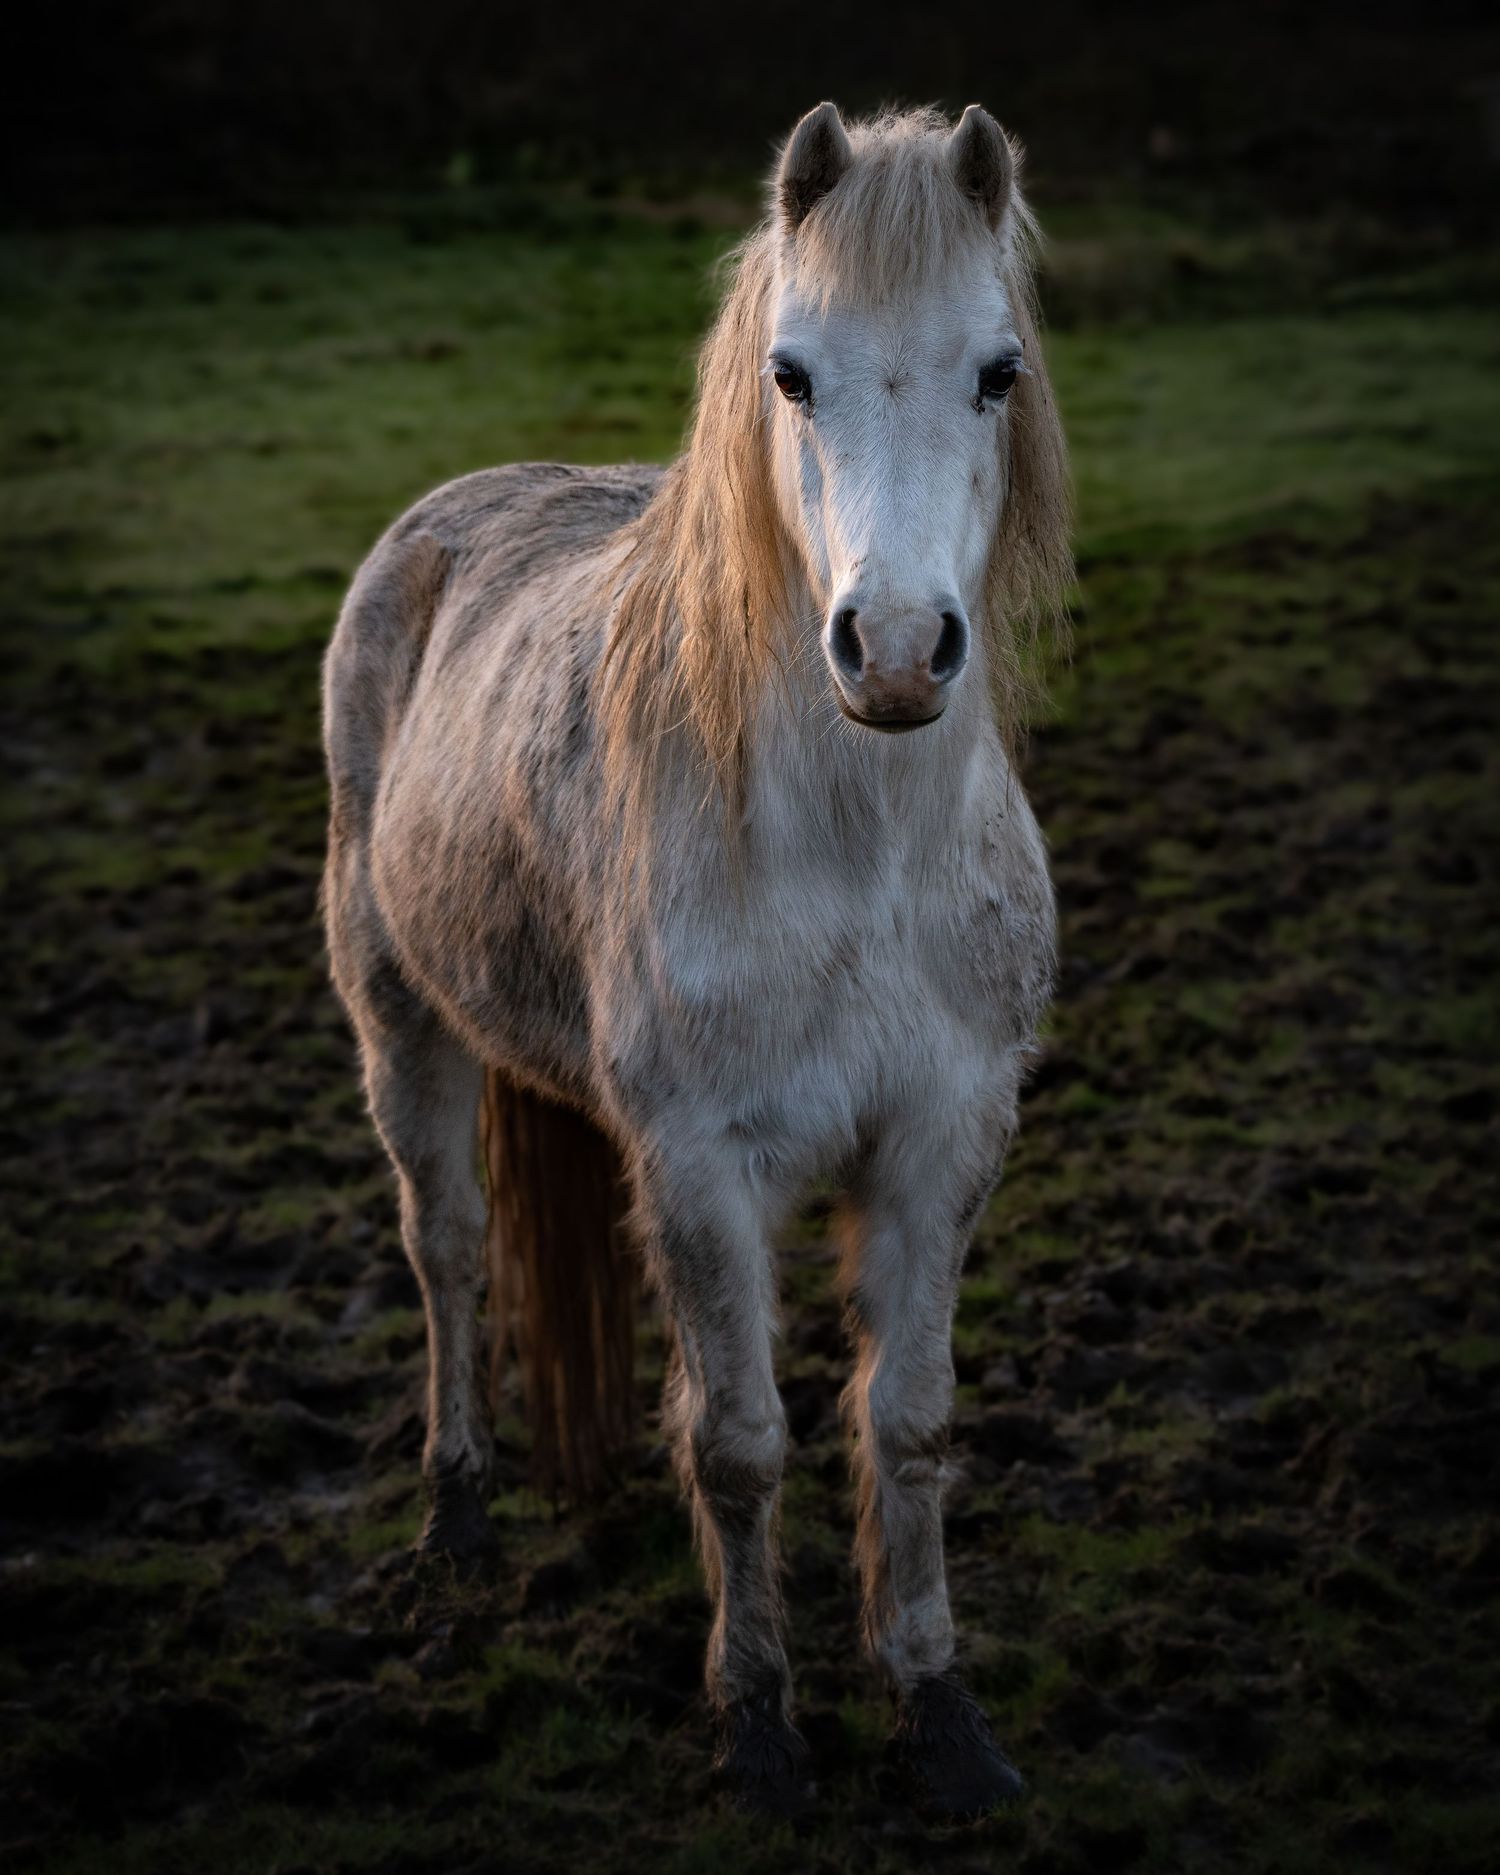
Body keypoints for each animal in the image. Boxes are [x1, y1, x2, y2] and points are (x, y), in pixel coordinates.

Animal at [322, 100, 1072, 1818]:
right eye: (788, 373)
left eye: (996, 370)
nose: (896, 649)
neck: (854, 860)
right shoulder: (702, 1165)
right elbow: (738, 1441)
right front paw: (762, 1728)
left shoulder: (943, 1141)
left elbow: (908, 1423)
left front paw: (941, 1712)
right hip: (402, 1023)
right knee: (447, 1248)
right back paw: (457, 1510)